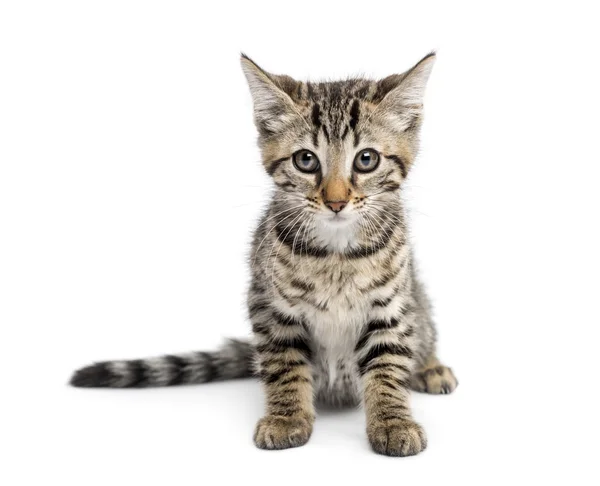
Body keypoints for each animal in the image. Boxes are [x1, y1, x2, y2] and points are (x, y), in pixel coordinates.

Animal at [70, 52, 458, 456]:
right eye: (306, 160)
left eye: (366, 159)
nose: (336, 202)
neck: (336, 254)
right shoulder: (270, 306)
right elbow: (284, 364)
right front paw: (286, 417)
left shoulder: (392, 307)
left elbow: (388, 367)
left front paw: (393, 421)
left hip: (416, 300)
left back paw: (429, 367)